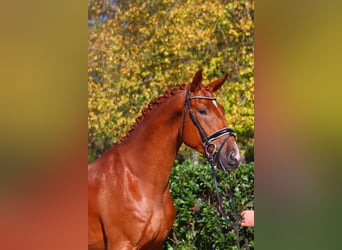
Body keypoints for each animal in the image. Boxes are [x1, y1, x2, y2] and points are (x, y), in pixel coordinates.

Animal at [89, 70, 242, 250]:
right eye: (203, 110)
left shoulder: (155, 244)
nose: (234, 156)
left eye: (223, 110)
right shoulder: (121, 244)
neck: (139, 181)